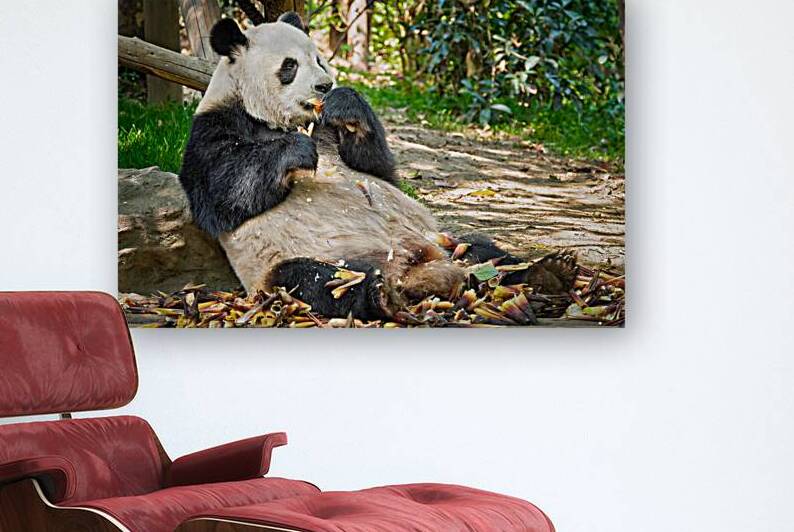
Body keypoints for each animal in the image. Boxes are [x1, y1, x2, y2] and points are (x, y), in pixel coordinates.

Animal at [179, 13, 578, 320]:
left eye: (319, 60)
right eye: (289, 66)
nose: (324, 86)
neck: (275, 119)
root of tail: (415, 268)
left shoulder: (333, 135)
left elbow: (379, 170)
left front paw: (345, 104)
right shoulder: (212, 128)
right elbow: (223, 192)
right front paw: (296, 150)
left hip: (443, 239)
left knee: (485, 251)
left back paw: (549, 272)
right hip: (292, 265)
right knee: (315, 280)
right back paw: (378, 294)